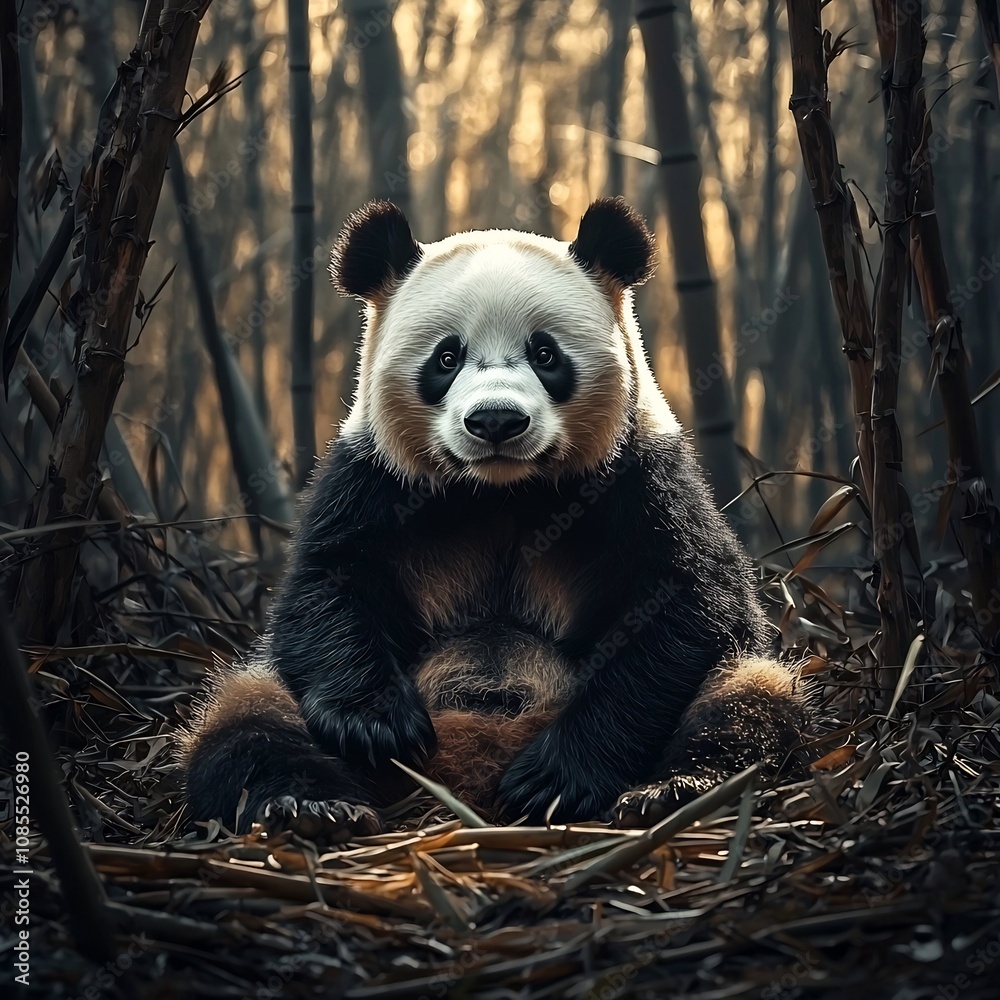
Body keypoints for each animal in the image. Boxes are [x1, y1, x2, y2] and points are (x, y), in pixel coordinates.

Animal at [178, 198, 808, 841]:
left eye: (545, 353)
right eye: (446, 356)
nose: (497, 420)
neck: (499, 492)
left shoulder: (640, 480)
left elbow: (690, 601)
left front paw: (556, 779)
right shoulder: (373, 479)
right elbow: (326, 583)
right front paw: (376, 725)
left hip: (736, 688)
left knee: (746, 702)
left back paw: (671, 791)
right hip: (273, 702)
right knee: (247, 719)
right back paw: (310, 807)